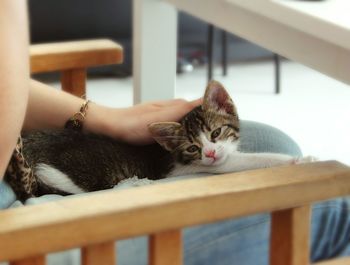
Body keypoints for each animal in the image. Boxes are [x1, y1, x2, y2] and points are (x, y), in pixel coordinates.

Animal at [4, 80, 306, 200]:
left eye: (216, 133)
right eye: (193, 147)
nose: (210, 153)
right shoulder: (186, 168)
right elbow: (247, 160)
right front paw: (296, 160)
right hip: (63, 176)